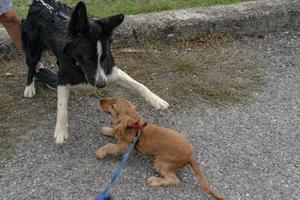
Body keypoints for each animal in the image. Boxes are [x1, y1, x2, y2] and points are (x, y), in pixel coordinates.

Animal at [22, 0, 169, 144]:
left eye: (104, 57)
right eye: (88, 58)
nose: (102, 85)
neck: (79, 67)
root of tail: (39, 3)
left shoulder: (111, 72)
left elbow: (139, 85)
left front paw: (156, 99)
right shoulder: (63, 78)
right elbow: (62, 108)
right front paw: (61, 131)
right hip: (33, 51)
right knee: (31, 67)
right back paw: (29, 87)